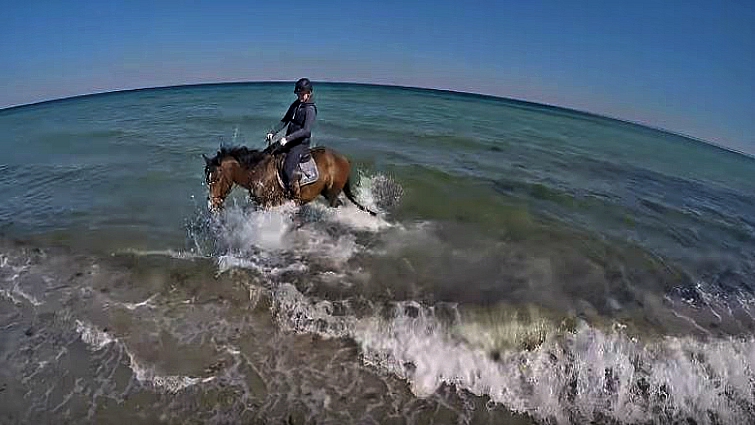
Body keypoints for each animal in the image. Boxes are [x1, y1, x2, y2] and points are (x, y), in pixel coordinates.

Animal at [203, 144, 376, 215]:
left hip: (332, 193)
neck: (257, 171)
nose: (212, 206)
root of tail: (344, 159)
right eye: (207, 179)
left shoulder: (270, 204)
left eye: (216, 178)